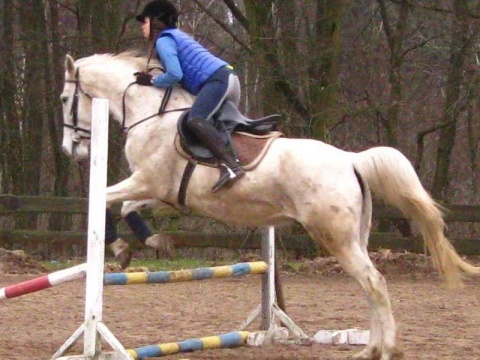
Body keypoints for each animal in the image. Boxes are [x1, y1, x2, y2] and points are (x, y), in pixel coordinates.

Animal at [62, 52, 478, 360]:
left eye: (66, 99)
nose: (71, 150)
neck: (151, 115)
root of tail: (351, 159)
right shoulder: (161, 195)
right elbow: (126, 208)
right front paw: (148, 244)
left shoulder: (147, 181)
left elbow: (102, 202)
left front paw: (120, 247)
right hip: (354, 236)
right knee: (369, 284)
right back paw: (371, 348)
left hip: (336, 237)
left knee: (373, 282)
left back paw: (387, 349)